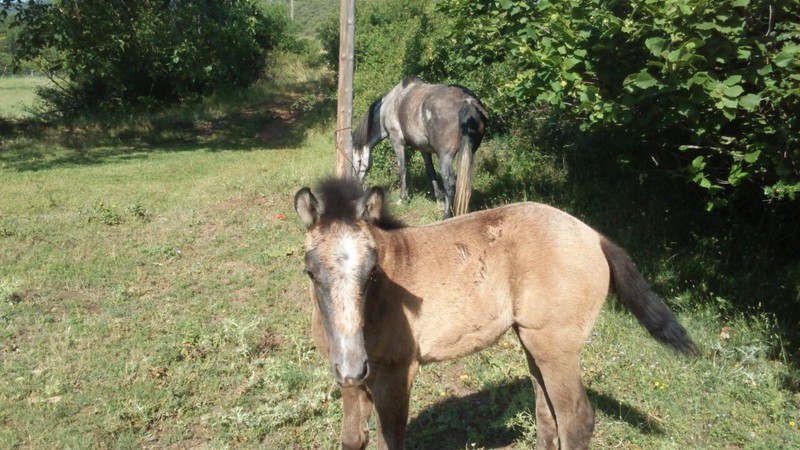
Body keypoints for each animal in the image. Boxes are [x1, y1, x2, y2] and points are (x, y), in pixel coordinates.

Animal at [294, 178, 697, 450]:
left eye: (373, 271)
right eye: (310, 272)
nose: (352, 363)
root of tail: (594, 236)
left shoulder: (396, 373)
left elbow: (389, 440)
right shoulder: (350, 381)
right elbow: (352, 439)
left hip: (557, 347)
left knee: (576, 420)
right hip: (534, 341)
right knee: (546, 413)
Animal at [351, 76, 488, 219]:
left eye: (357, 161)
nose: (355, 184)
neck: (387, 106)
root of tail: (467, 101)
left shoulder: (397, 142)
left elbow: (402, 169)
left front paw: (402, 199)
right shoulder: (424, 149)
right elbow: (431, 173)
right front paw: (439, 201)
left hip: (445, 157)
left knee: (449, 183)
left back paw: (446, 215)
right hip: (469, 153)